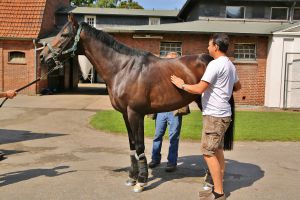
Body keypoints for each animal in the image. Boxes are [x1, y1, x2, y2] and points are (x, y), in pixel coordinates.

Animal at [39, 14, 234, 192]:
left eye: (64, 35)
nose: (42, 56)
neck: (123, 69)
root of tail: (211, 59)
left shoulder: (135, 113)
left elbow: (140, 146)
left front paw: (141, 181)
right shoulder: (125, 114)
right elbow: (132, 145)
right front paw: (131, 178)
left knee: (215, 147)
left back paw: (210, 182)